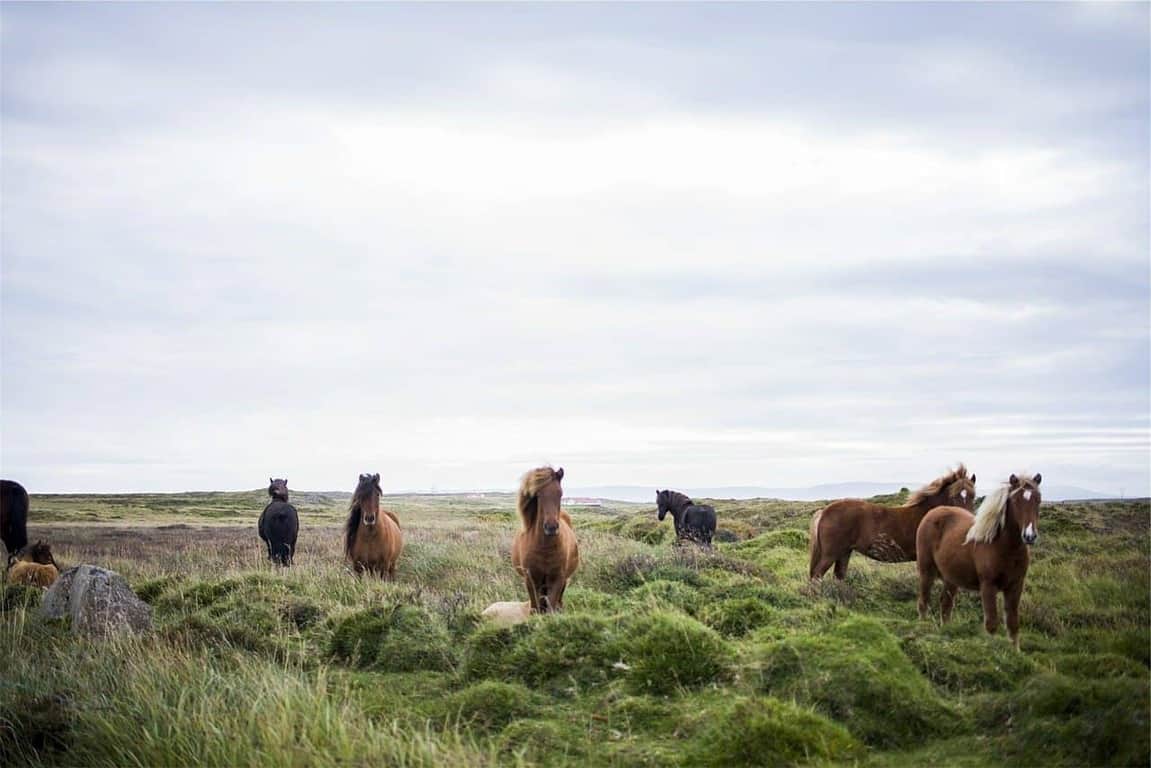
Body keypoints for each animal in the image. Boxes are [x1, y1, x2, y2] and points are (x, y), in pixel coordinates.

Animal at [513, 465, 580, 617]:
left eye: (560, 494)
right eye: (538, 495)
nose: (551, 527)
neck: (544, 548)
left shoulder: (557, 579)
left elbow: (551, 608)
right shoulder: (531, 579)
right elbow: (535, 607)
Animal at [805, 465, 976, 580]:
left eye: (973, 495)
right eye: (954, 496)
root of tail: (824, 511)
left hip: (844, 552)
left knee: (838, 576)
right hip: (831, 553)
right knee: (817, 575)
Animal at [916, 474, 1045, 649]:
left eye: (1038, 499)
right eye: (1016, 500)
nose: (1029, 536)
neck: (1004, 547)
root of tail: (932, 513)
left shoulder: (1016, 586)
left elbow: (1013, 624)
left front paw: (1015, 652)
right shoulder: (988, 586)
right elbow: (991, 624)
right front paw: (991, 649)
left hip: (951, 579)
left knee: (945, 605)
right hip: (926, 571)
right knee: (924, 601)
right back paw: (923, 627)